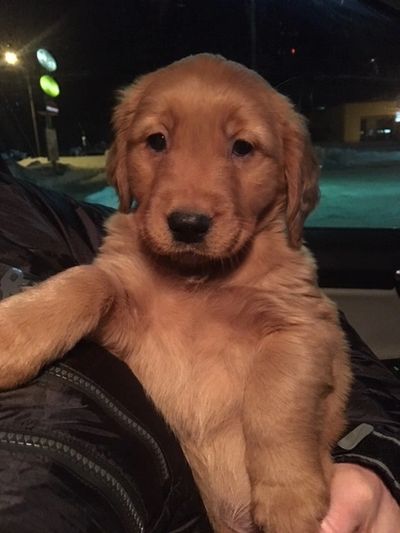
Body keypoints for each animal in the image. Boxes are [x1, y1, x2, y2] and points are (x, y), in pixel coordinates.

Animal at [0, 54, 351, 532]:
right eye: (157, 141)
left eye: (243, 148)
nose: (188, 224)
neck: (197, 281)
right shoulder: (130, 331)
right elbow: (89, 280)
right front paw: (14, 333)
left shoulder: (305, 327)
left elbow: (275, 400)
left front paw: (288, 496)